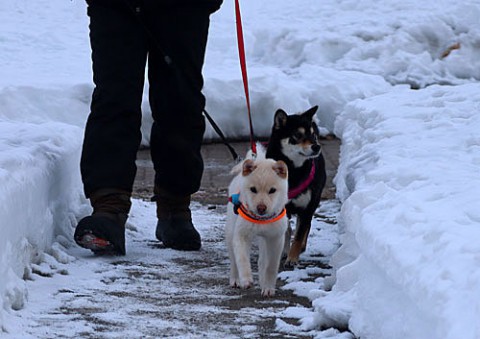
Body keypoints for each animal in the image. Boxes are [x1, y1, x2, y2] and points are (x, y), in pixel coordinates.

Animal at [226, 147, 288, 296]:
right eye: (253, 189)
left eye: (272, 190)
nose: (261, 208)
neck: (262, 221)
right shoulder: (241, 235)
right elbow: (242, 259)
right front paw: (246, 280)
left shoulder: (275, 239)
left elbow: (270, 265)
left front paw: (268, 287)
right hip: (230, 232)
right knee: (233, 260)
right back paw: (235, 279)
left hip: (264, 240)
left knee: (262, 261)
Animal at [264, 105, 328, 266]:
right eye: (298, 135)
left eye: (313, 135)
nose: (316, 146)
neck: (293, 171)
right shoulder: (280, 207)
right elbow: (287, 231)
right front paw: (284, 251)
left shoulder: (307, 207)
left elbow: (299, 234)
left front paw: (292, 257)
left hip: (313, 201)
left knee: (305, 225)